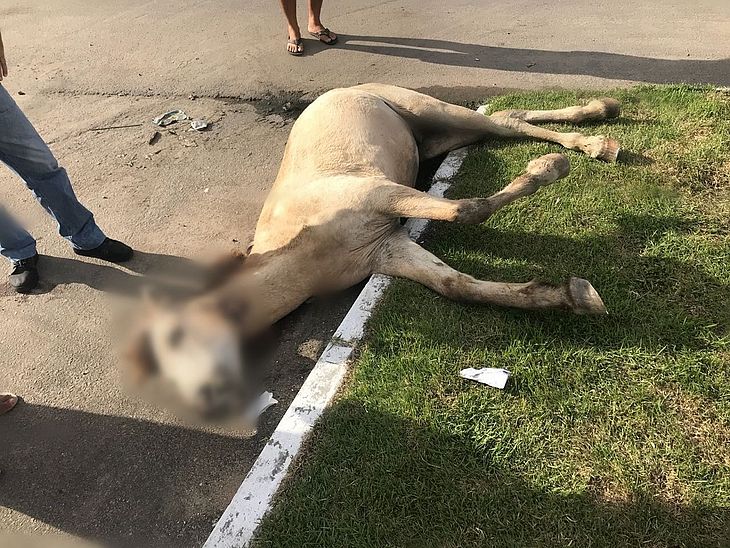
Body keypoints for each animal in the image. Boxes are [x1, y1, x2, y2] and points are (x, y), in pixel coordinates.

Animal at [128, 83, 616, 416]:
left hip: (430, 109)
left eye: (175, 336)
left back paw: (594, 138)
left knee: (503, 121)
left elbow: (463, 211)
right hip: (438, 137)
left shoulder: (381, 195)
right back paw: (597, 125)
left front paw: (547, 170)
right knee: (508, 116)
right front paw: (571, 295)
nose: (206, 400)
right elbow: (456, 285)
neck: (305, 250)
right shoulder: (388, 250)